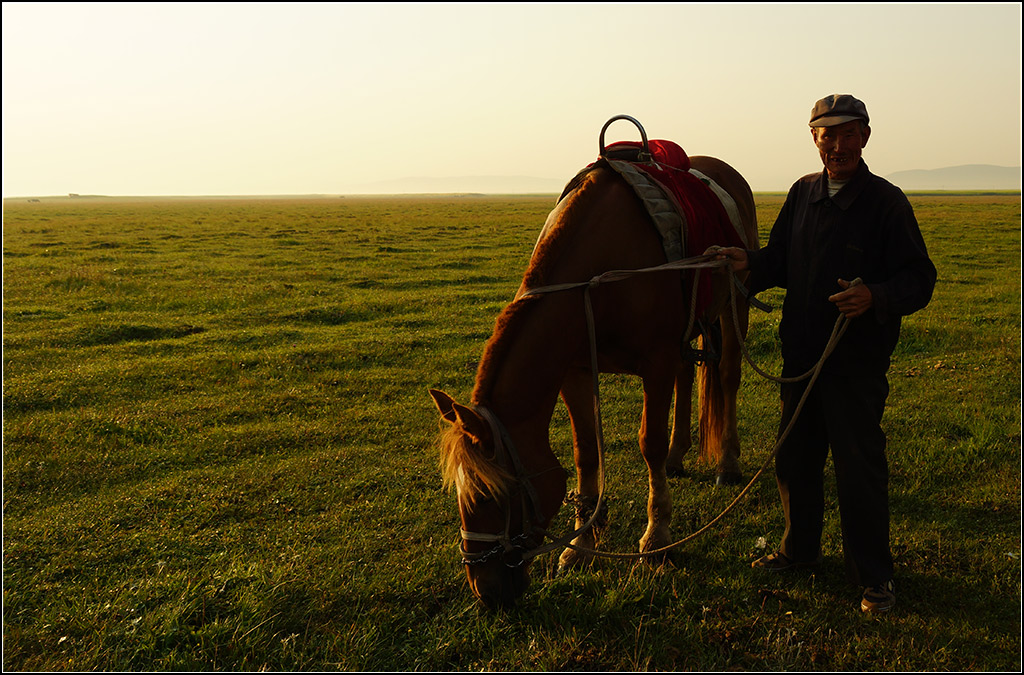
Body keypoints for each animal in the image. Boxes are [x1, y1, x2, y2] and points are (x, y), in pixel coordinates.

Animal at [428, 155, 757, 610]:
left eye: (490, 497)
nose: (485, 590)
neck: (597, 273)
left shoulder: (656, 363)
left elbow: (649, 444)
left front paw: (657, 539)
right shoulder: (576, 370)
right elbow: (585, 452)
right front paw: (579, 547)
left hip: (734, 303)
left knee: (726, 375)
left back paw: (727, 462)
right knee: (688, 376)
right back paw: (678, 458)